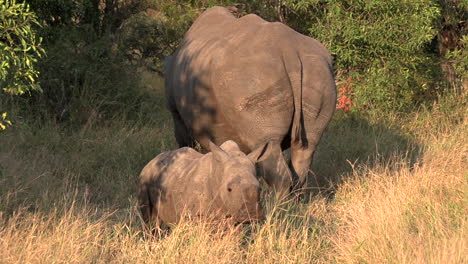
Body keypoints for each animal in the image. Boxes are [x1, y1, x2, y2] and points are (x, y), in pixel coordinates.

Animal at [136, 140, 266, 229]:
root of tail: (152, 160)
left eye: (260, 189)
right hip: (145, 178)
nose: (251, 215)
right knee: (151, 222)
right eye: (229, 189)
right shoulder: (196, 215)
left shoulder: (233, 212)